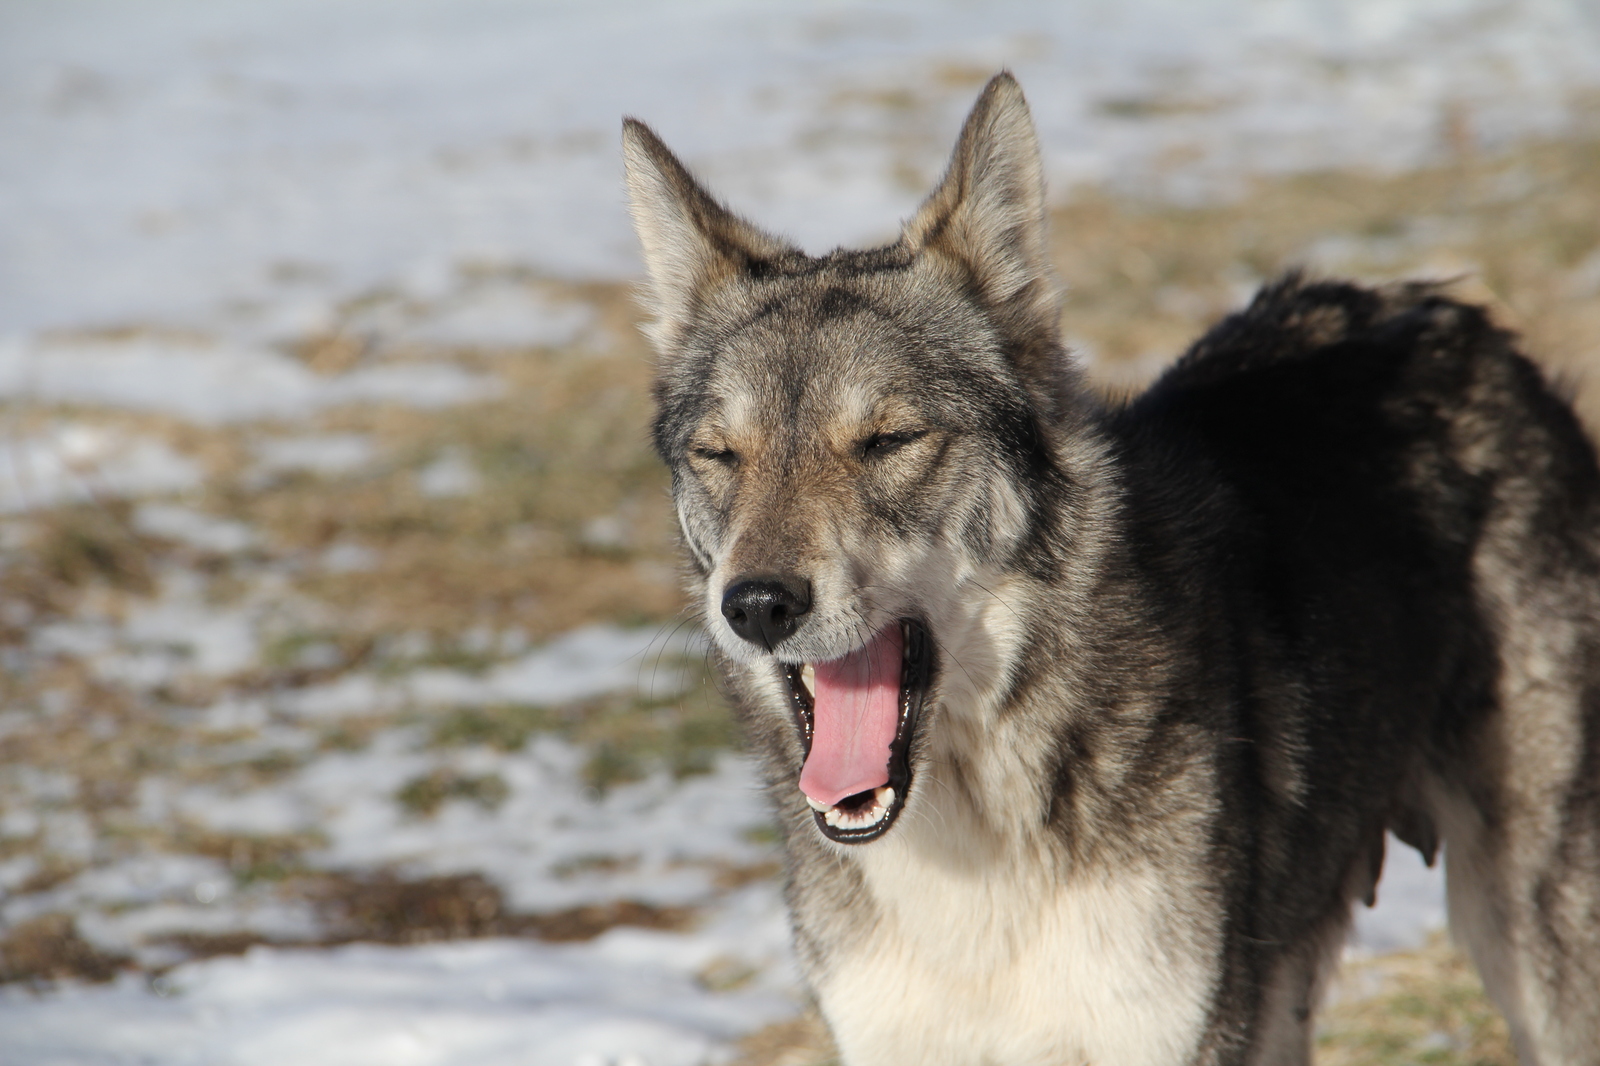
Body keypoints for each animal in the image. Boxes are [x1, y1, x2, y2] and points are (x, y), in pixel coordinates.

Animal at [617, 74, 1600, 1062]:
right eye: (719, 455)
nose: (756, 605)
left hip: (1529, 947)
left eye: (888, 441)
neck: (973, 864)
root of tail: (1454, 313)